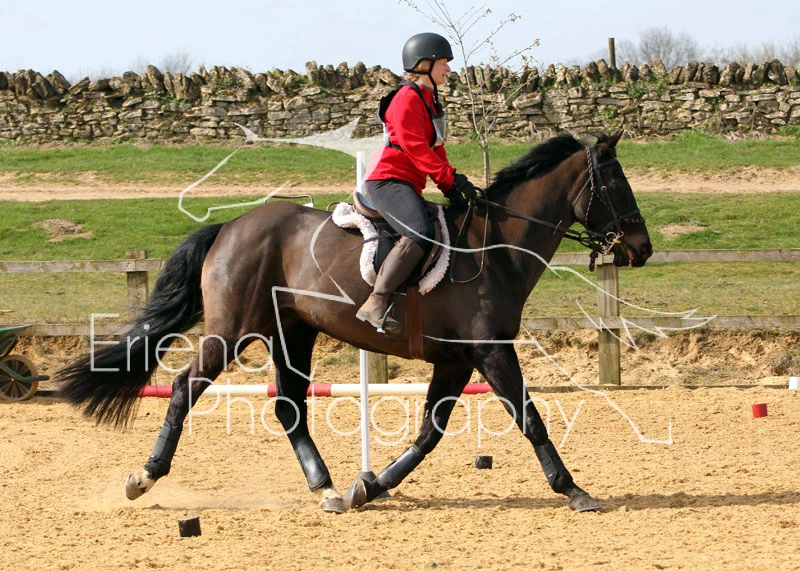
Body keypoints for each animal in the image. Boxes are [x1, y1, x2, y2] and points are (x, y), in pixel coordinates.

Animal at [56, 131, 652, 514]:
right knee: (184, 388)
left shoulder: (457, 361)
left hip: (293, 333)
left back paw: (328, 489)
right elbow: (531, 420)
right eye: (617, 183)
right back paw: (145, 476)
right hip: (232, 330)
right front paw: (574, 490)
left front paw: (373, 486)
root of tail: (230, 226)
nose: (642, 249)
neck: (496, 249)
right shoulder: (491, 353)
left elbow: (429, 433)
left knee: (290, 406)